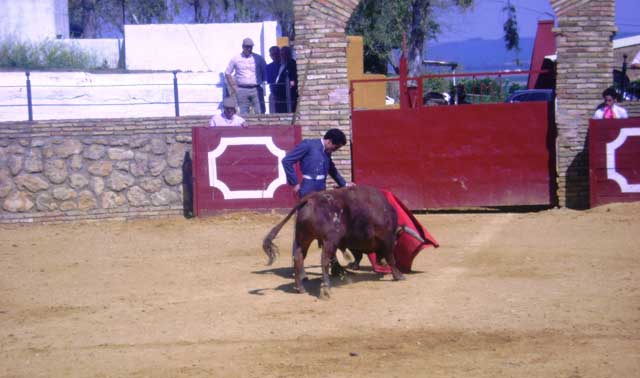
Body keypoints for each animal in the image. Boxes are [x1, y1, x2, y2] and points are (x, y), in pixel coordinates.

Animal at [262, 185, 404, 296]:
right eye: (396, 242)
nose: (381, 262)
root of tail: (311, 198)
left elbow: (357, 255)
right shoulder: (387, 238)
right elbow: (391, 257)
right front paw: (398, 275)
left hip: (303, 239)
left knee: (298, 257)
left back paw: (300, 288)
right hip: (329, 240)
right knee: (324, 260)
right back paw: (326, 289)